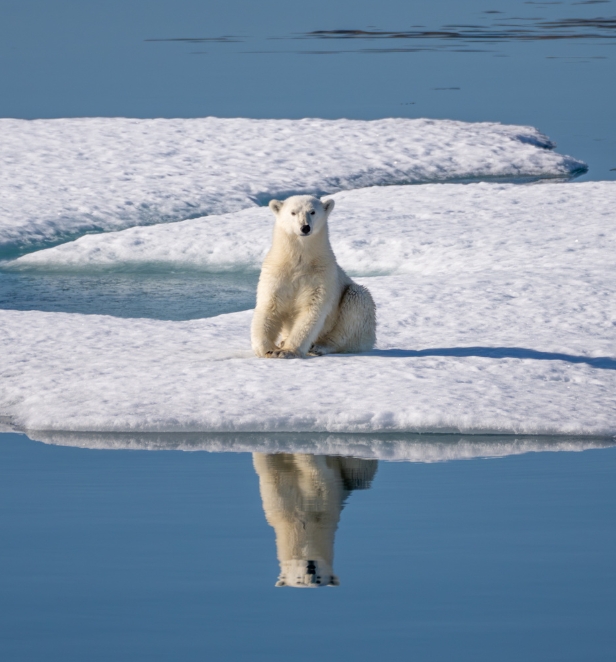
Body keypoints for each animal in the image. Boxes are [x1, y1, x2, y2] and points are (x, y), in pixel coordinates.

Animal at [251, 195, 376, 359]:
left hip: (359, 317)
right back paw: (284, 341)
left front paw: (286, 351)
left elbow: (312, 309)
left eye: (312, 212)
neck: (300, 260)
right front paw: (268, 349)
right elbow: (269, 305)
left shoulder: (321, 275)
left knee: (357, 301)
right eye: (293, 212)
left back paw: (318, 346)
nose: (305, 227)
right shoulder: (277, 273)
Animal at [253, 452, 378, 588]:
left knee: (358, 473)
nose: (311, 570)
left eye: (319, 579)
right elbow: (270, 471)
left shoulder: (326, 500)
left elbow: (317, 483)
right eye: (299, 580)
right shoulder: (281, 507)